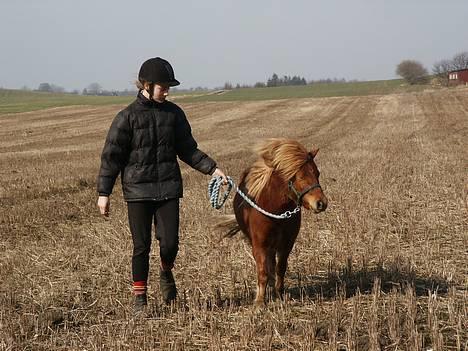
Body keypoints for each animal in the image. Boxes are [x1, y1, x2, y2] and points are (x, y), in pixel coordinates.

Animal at [218, 138, 328, 306]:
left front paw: (280, 295)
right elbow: (262, 271)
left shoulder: (286, 244)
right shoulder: (259, 245)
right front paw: (259, 302)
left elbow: (280, 268)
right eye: (298, 176)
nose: (321, 203)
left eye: (317, 173)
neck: (275, 211)